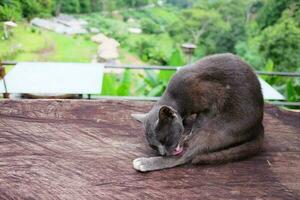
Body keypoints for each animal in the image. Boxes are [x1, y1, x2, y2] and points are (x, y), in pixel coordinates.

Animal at [132, 53, 264, 172]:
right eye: (154, 146)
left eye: (165, 139)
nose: (163, 153)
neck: (175, 98)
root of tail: (259, 124)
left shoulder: (209, 102)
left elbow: (199, 121)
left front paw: (190, 132)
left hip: (221, 126)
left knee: (187, 154)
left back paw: (144, 163)